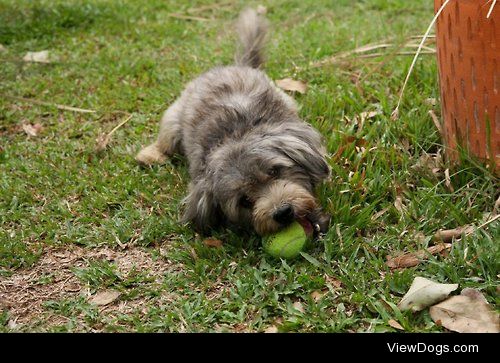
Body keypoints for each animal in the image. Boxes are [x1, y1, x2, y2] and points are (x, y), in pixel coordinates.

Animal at [138, 8, 332, 237]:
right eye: (244, 201)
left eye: (275, 171)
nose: (283, 212)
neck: (234, 135)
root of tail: (235, 65)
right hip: (173, 119)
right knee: (165, 141)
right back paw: (150, 154)